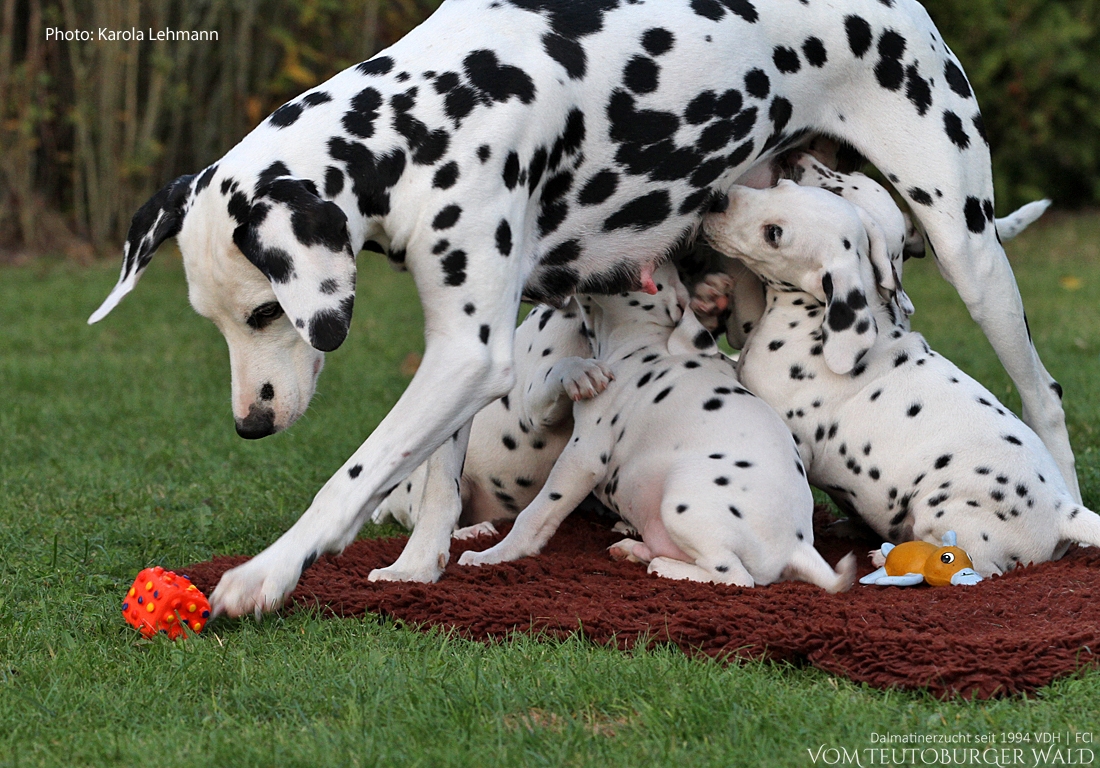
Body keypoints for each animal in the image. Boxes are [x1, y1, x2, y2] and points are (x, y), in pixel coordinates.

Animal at [459, 263, 856, 592]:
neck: (638, 347)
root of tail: (798, 546)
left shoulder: (583, 457)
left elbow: (535, 515)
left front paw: (492, 556)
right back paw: (637, 549)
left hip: (685, 499)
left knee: (735, 577)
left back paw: (663, 566)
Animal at [703, 182, 1099, 577]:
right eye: (781, 185)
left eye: (774, 234)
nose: (717, 199)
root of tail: (1064, 511)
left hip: (946, 509)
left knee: (975, 564)